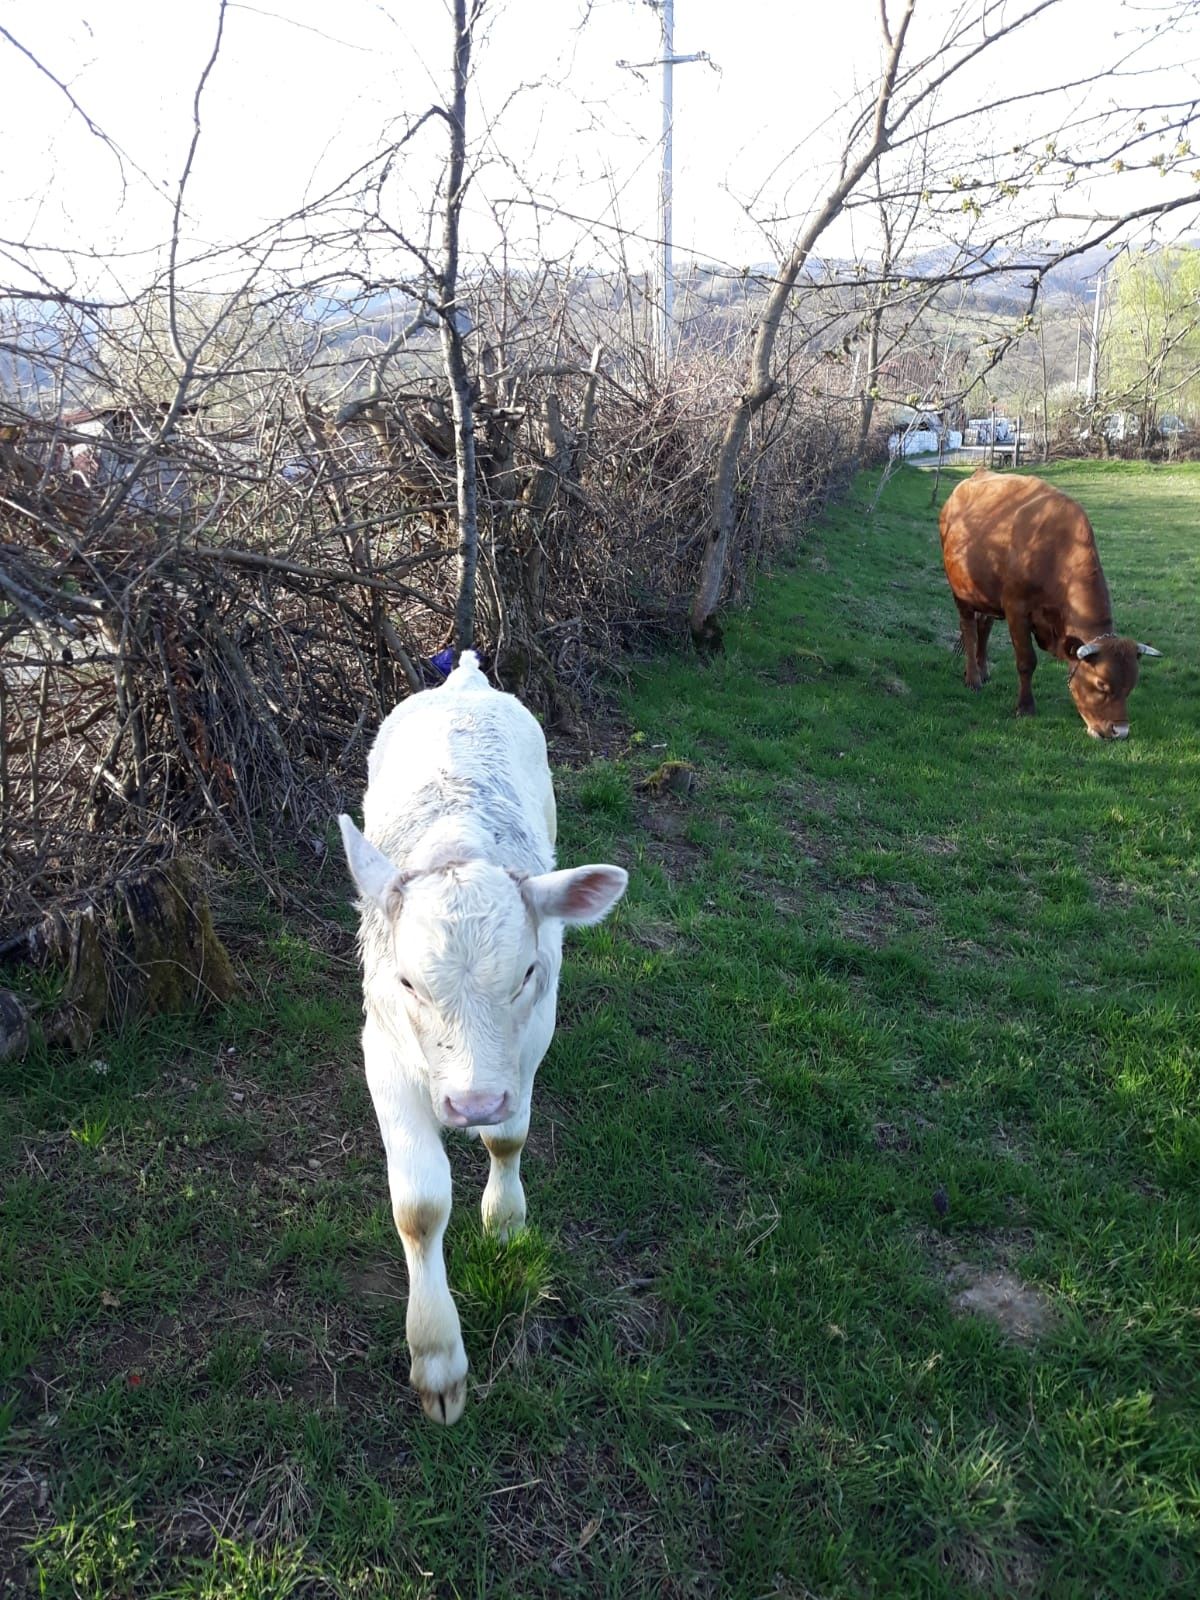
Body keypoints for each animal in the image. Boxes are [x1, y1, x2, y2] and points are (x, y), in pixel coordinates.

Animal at [334, 649, 624, 1427]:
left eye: (525, 973)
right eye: (407, 982)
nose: (471, 1104)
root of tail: (463, 674)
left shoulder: (532, 1037)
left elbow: (509, 1139)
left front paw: (504, 1216)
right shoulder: (381, 1048)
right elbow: (419, 1206)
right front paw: (437, 1356)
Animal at [947, 464, 1158, 736]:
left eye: (1131, 686)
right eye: (1101, 684)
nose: (1120, 732)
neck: (1055, 552)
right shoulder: (1016, 610)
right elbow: (1026, 661)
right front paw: (1025, 708)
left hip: (986, 595)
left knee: (984, 627)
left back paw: (982, 671)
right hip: (961, 592)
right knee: (970, 629)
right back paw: (973, 678)